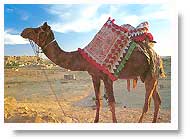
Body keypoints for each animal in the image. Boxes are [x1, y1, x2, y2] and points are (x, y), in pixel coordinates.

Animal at [20, 22, 163, 122]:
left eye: (38, 29)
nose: (23, 31)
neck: (84, 58)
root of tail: (156, 55)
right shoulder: (94, 76)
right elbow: (98, 101)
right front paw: (95, 121)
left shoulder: (107, 77)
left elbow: (112, 103)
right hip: (148, 75)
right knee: (157, 100)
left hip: (151, 74)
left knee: (147, 104)